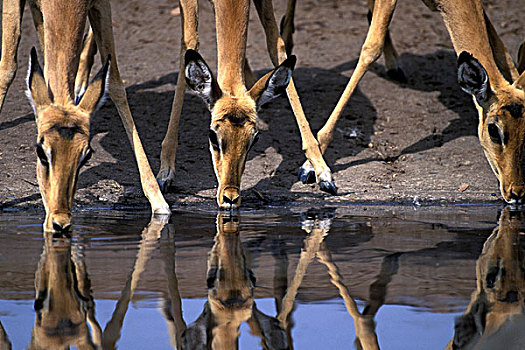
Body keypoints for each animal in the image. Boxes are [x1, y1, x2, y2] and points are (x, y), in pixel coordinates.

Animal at [0, 0, 168, 232]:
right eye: (41, 152)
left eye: (87, 155)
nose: (60, 223)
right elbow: (7, 69)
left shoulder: (101, 5)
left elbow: (115, 83)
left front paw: (159, 201)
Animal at [156, 0, 336, 208]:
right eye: (212, 136)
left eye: (255, 138)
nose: (230, 198)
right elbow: (189, 44)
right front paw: (165, 173)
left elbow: (277, 47)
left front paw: (323, 172)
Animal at [280, 0, 524, 204]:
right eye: (494, 131)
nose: (516, 192)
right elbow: (371, 48)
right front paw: (312, 169)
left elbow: (502, 52)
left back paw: (394, 66)